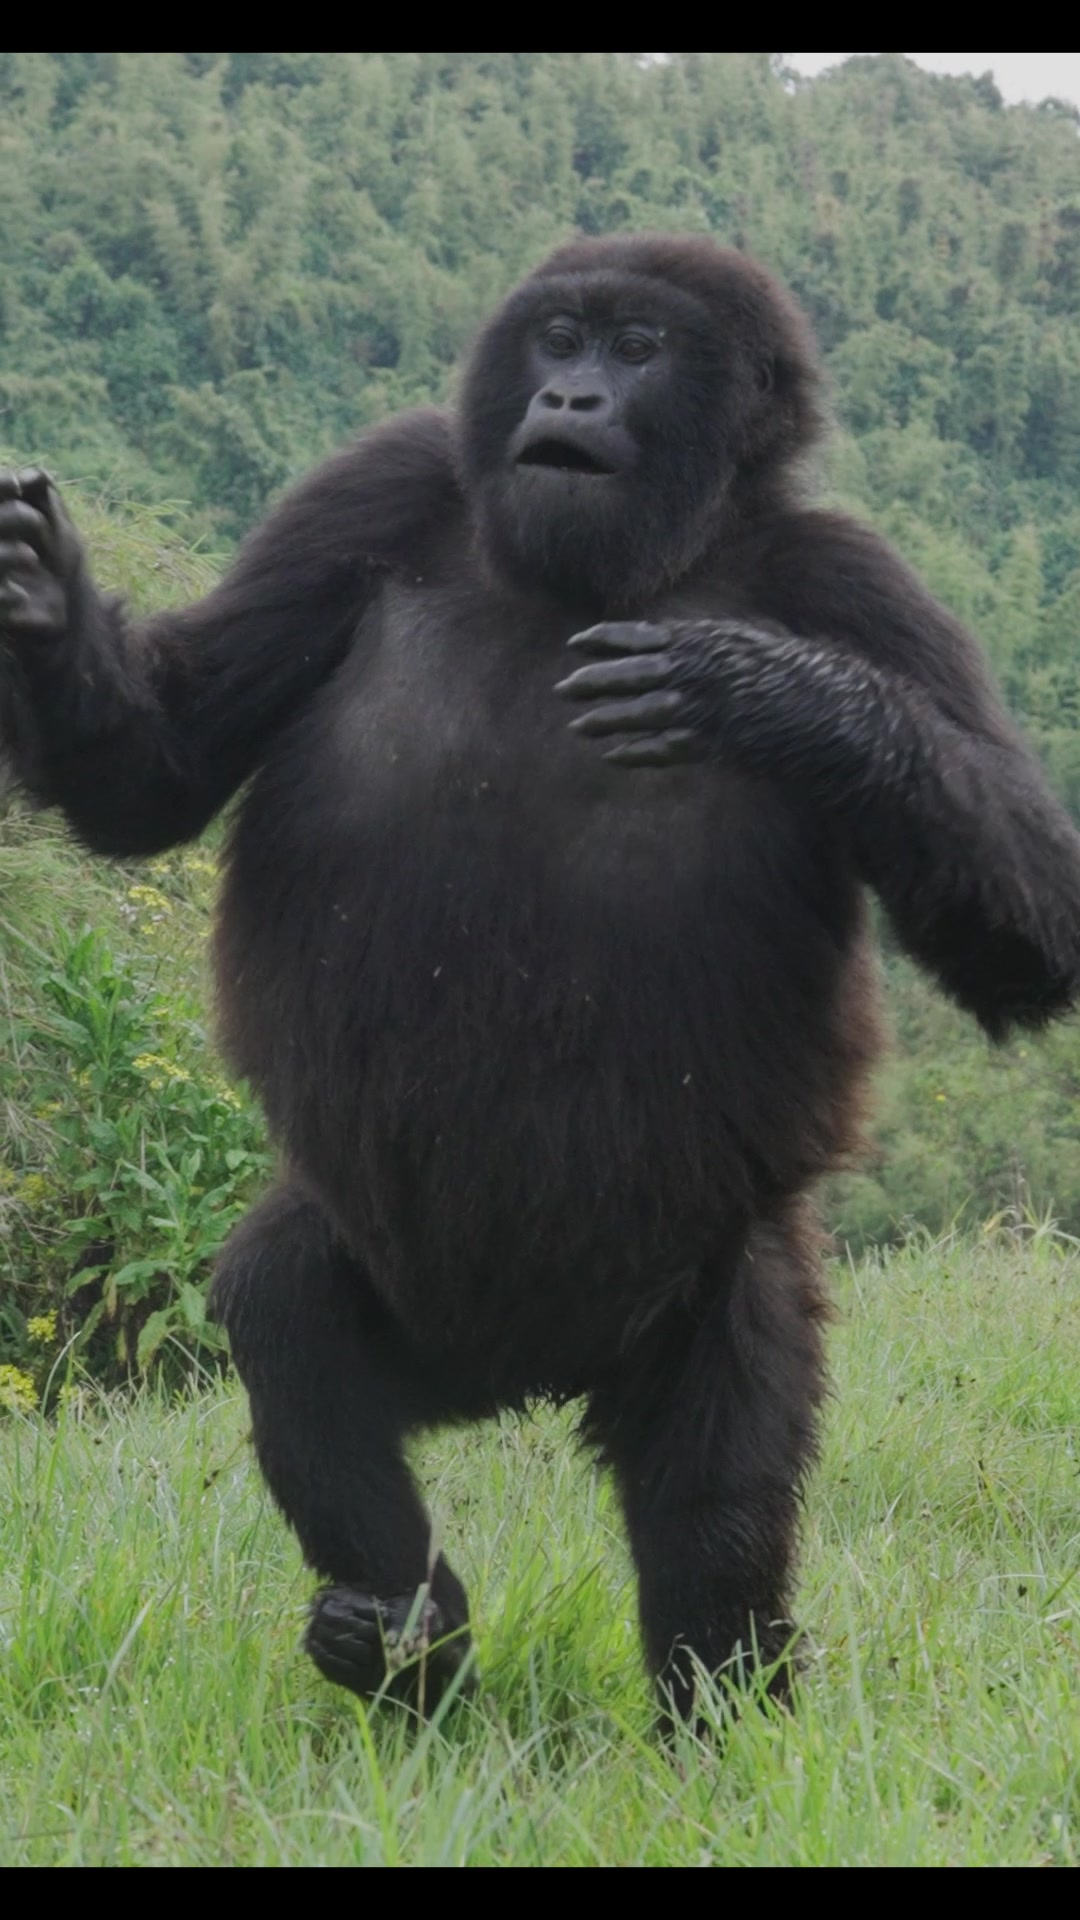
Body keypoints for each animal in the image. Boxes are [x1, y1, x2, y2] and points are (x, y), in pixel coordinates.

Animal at [2, 236, 1076, 1728]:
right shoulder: (375, 485)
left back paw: (717, 1706)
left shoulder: (856, 581)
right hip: (413, 1308)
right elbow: (161, 763)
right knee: (290, 1313)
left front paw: (772, 693)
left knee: (720, 1475)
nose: (569, 396)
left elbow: (1030, 924)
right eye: (562, 335)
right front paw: (44, 608)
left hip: (696, 1282)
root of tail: (521, 1379)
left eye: (638, 346)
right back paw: (402, 1636)